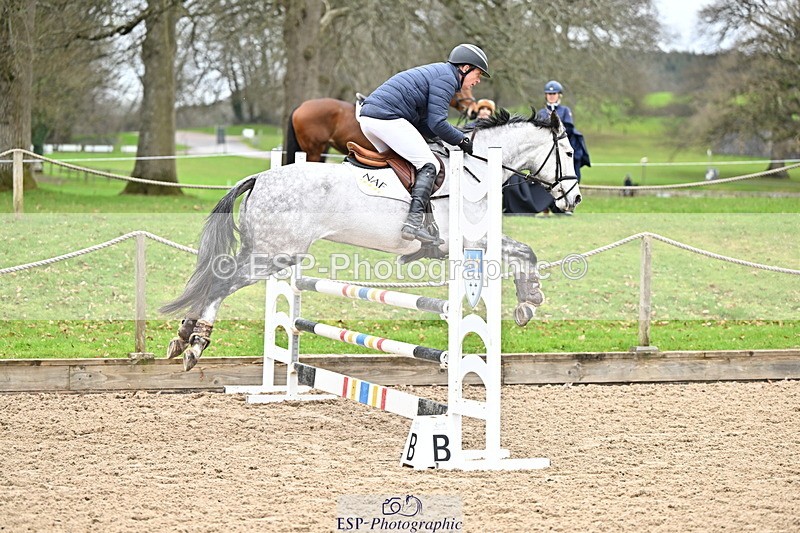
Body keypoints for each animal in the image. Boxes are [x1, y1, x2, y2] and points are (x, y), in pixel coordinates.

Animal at [162, 109, 582, 371]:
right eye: (568, 150)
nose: (574, 198)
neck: (477, 169)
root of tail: (259, 178)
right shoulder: (468, 242)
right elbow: (524, 251)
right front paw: (531, 299)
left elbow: (524, 252)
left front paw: (528, 301)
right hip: (273, 256)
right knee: (220, 284)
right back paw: (195, 344)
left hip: (266, 252)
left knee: (215, 278)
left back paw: (183, 334)